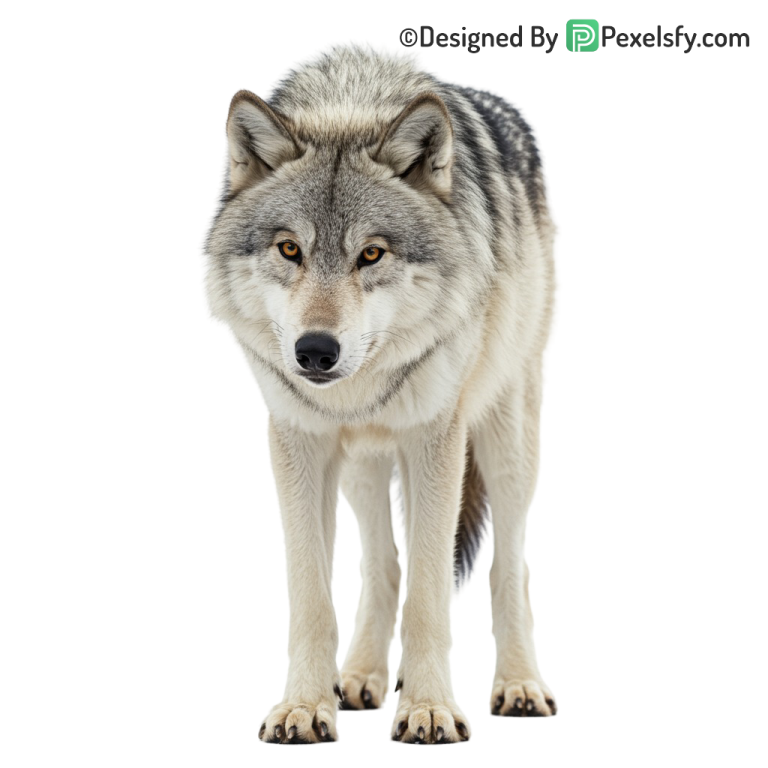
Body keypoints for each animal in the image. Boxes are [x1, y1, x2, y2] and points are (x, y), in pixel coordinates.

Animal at [199, 39, 562, 745]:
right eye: (290, 249)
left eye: (371, 254)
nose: (315, 350)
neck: (350, 100)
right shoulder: (299, 443)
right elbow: (313, 595)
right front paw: (304, 707)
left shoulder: (435, 441)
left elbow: (429, 595)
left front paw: (428, 710)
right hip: (364, 464)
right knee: (384, 563)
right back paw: (361, 679)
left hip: (505, 440)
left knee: (508, 563)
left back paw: (520, 686)